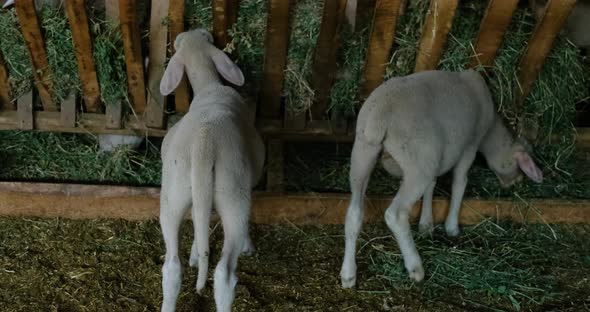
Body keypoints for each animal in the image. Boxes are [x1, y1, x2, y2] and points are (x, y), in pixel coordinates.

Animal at [160, 28, 266, 312]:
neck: (208, 85)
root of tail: (203, 142)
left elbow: (200, 220)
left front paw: (196, 254)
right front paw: (248, 246)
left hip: (173, 193)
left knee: (171, 267)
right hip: (234, 197)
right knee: (224, 273)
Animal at [342, 70, 544, 288]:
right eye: (520, 164)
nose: (514, 183)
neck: (491, 132)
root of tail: (379, 117)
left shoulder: (438, 156)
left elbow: (432, 185)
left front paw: (426, 224)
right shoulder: (469, 145)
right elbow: (460, 182)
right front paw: (452, 227)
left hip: (364, 153)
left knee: (354, 213)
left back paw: (348, 274)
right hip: (417, 163)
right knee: (395, 214)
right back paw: (415, 266)